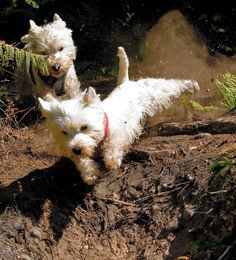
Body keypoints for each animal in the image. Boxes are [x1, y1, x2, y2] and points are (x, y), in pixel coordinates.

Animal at [38, 46, 199, 185]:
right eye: (64, 132)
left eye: (84, 127)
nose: (76, 149)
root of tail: (125, 82)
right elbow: (82, 161)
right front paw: (90, 174)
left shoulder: (119, 131)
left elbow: (113, 143)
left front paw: (111, 161)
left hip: (153, 93)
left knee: (169, 87)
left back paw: (192, 86)